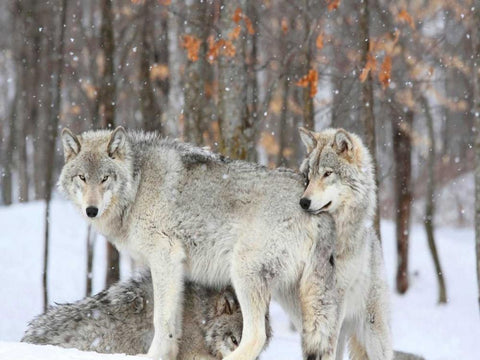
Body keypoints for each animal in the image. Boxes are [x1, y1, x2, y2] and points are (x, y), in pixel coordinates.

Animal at [58, 127, 340, 360]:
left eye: (105, 178)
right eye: (82, 177)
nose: (91, 210)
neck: (138, 185)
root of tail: (315, 207)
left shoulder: (165, 257)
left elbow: (161, 320)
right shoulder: (175, 270)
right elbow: (174, 323)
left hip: (244, 273)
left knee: (256, 336)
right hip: (297, 297)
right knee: (325, 343)